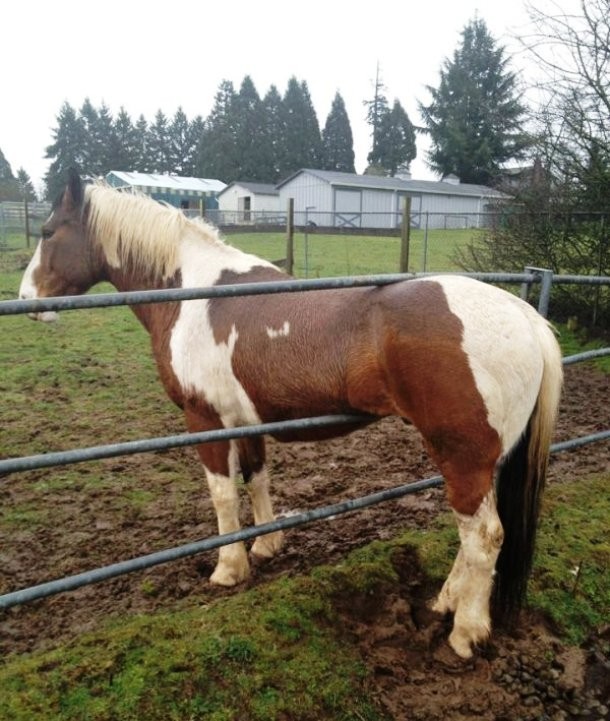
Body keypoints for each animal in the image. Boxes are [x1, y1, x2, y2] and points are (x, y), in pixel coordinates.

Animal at [17, 170, 560, 660]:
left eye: (47, 231)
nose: (26, 301)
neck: (192, 293)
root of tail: (524, 316)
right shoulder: (247, 419)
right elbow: (256, 478)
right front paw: (266, 547)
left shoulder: (204, 420)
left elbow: (222, 495)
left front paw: (228, 568)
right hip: (479, 460)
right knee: (472, 536)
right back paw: (444, 602)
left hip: (462, 456)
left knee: (484, 536)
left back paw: (466, 633)